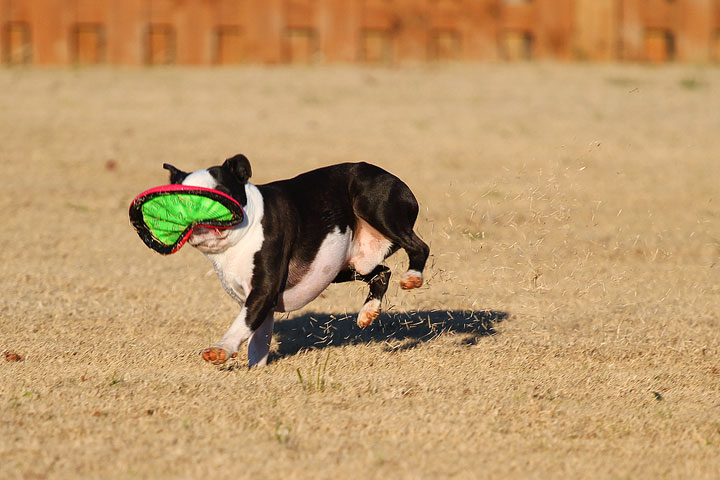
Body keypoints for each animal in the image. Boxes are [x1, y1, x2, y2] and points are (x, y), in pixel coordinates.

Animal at [165, 155, 428, 368]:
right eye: (179, 198)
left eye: (219, 193)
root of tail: (392, 178)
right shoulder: (261, 300)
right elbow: (257, 338)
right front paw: (256, 370)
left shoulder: (263, 290)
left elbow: (242, 322)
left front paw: (221, 349)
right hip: (345, 265)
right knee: (382, 271)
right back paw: (368, 311)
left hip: (375, 207)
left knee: (419, 247)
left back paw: (412, 277)